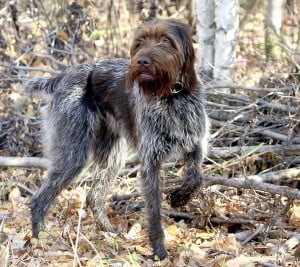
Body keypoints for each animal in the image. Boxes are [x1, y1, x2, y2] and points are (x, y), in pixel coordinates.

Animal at [24, 18, 210, 260]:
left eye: (166, 40)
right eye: (140, 42)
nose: (142, 61)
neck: (171, 97)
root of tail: (65, 76)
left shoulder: (196, 145)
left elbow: (195, 178)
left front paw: (180, 198)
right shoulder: (150, 162)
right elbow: (154, 211)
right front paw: (159, 251)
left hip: (112, 155)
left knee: (93, 196)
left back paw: (108, 232)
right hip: (74, 153)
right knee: (39, 200)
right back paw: (39, 241)